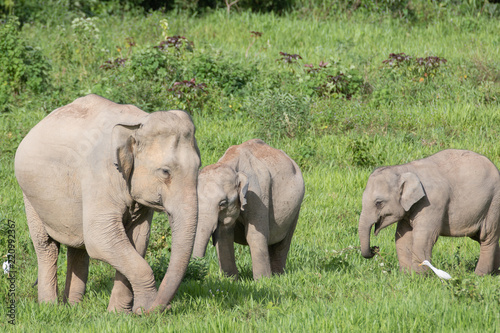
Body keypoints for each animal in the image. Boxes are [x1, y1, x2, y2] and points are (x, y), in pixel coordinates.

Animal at [16, 94, 203, 312]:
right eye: (165, 172)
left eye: (199, 167)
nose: (165, 308)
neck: (137, 124)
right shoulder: (100, 176)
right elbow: (100, 238)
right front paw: (145, 311)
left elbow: (137, 240)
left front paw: (120, 314)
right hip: (29, 195)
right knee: (47, 246)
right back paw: (50, 307)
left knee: (78, 248)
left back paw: (73, 307)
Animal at [191, 139, 304, 278]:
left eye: (223, 203)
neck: (229, 163)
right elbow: (223, 235)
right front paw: (231, 279)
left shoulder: (257, 194)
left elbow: (255, 235)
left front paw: (263, 280)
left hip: (296, 209)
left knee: (283, 242)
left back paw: (278, 276)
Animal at [358, 149, 500, 274]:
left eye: (378, 203)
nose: (375, 248)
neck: (404, 169)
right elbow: (401, 237)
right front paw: (406, 275)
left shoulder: (432, 203)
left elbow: (423, 236)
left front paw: (420, 276)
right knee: (480, 237)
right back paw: (495, 273)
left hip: (493, 203)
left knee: (487, 236)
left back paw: (480, 274)